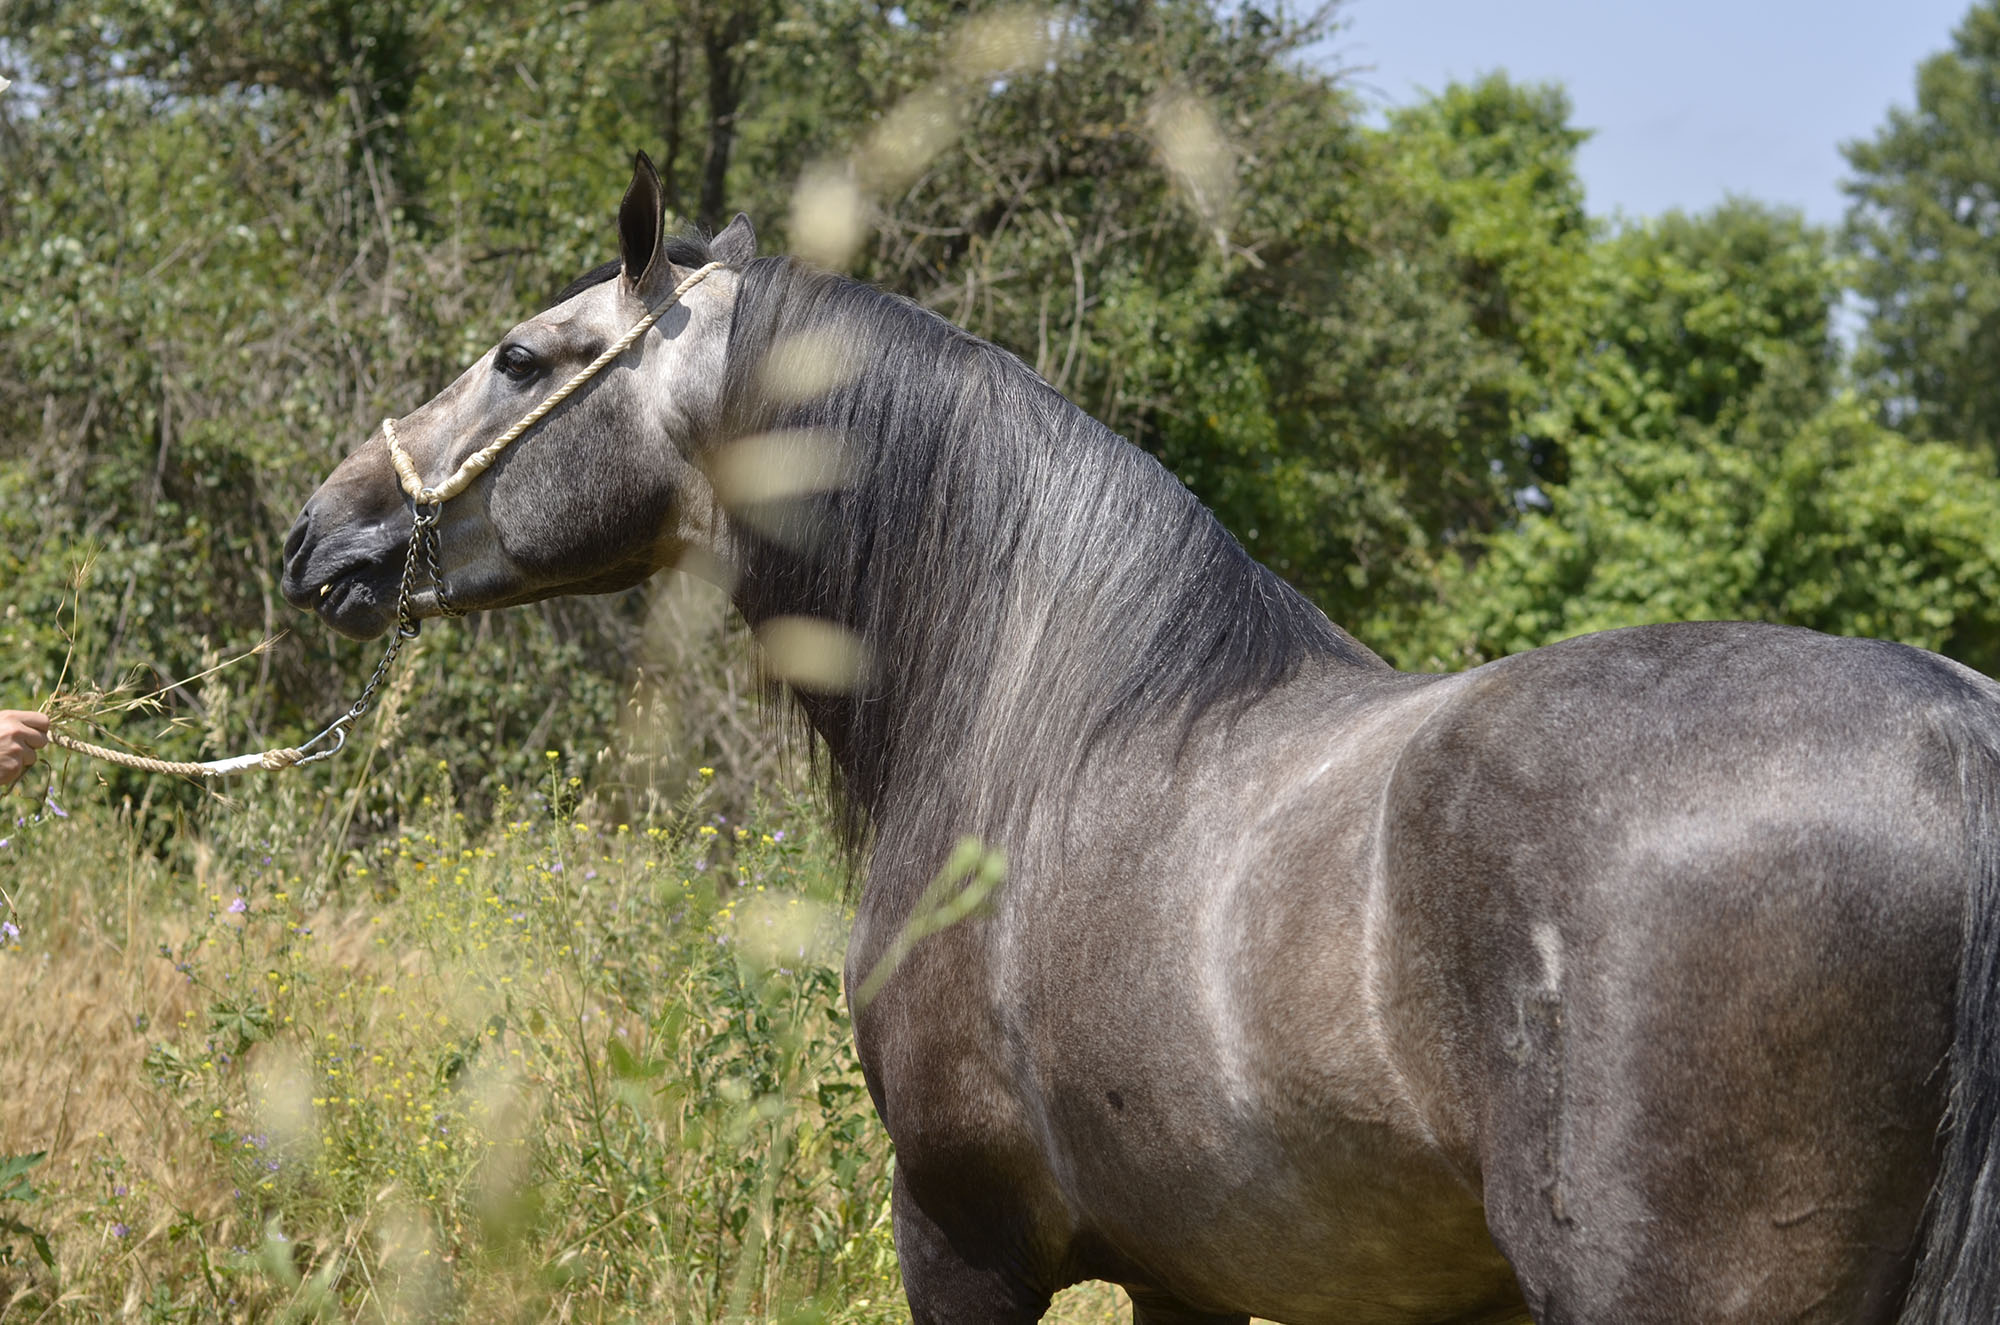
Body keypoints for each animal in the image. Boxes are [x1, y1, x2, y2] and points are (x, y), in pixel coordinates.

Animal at [282, 158, 2000, 1325]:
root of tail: (1954, 744)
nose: (322, 534)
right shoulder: (1189, 1267)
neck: (1039, 718)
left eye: (521, 357)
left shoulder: (964, 1237)